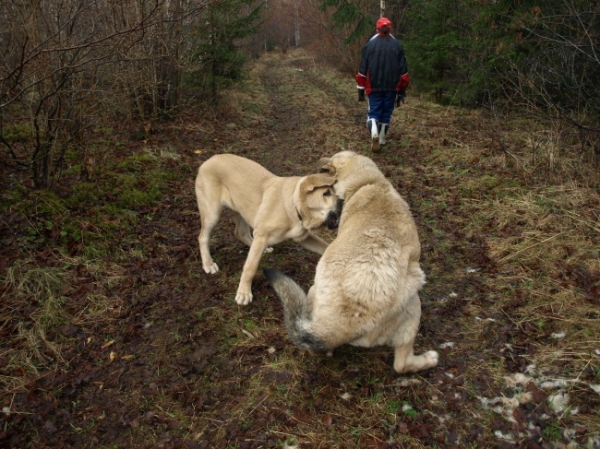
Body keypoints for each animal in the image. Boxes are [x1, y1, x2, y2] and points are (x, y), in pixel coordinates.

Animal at [196, 154, 340, 304]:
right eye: (326, 193)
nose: (343, 202)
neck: (292, 206)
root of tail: (211, 158)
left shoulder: (303, 238)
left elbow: (325, 246)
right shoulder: (261, 235)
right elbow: (250, 267)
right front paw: (244, 293)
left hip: (241, 210)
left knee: (241, 233)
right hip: (212, 213)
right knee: (202, 237)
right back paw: (208, 264)